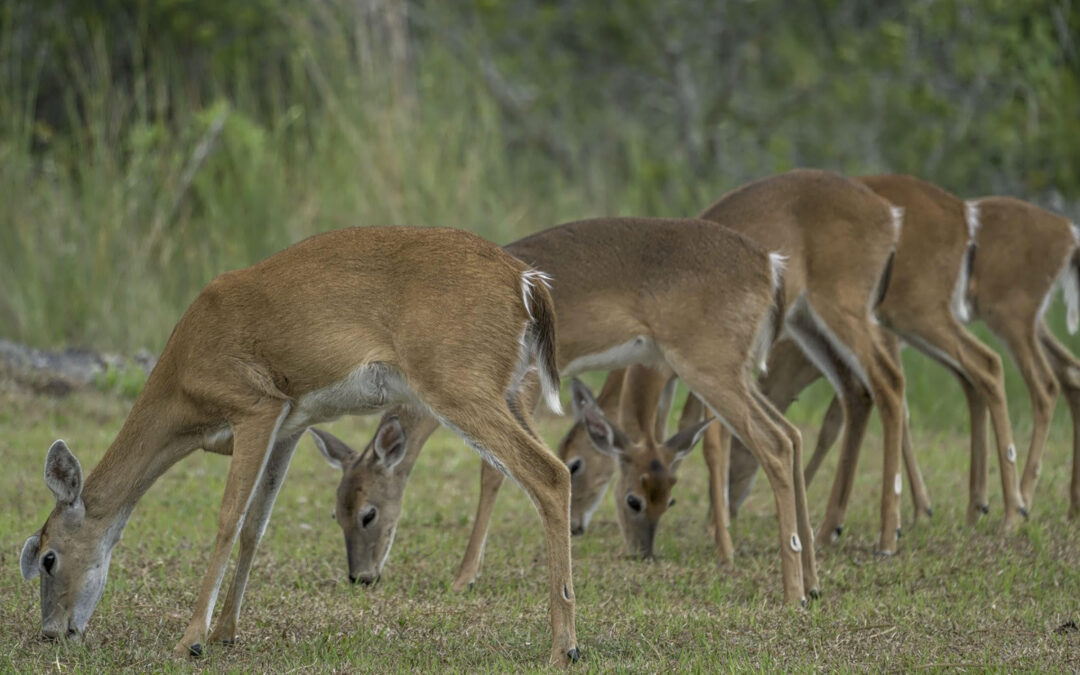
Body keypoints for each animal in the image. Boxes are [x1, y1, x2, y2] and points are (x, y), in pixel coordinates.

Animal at [14, 226, 583, 665]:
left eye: (47, 558)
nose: (51, 632)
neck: (183, 389)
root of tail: (527, 282)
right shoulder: (288, 424)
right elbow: (256, 525)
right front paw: (225, 632)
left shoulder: (254, 405)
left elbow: (227, 520)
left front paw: (190, 640)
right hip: (506, 390)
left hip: (457, 381)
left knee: (550, 473)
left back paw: (565, 647)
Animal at [313, 212, 816, 604]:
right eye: (335, 511)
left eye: (368, 512)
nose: (361, 576)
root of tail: (769, 265)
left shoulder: (525, 386)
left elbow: (497, 473)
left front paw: (463, 577)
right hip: (730, 368)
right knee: (792, 435)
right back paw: (811, 583)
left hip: (707, 362)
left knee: (774, 442)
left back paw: (792, 592)